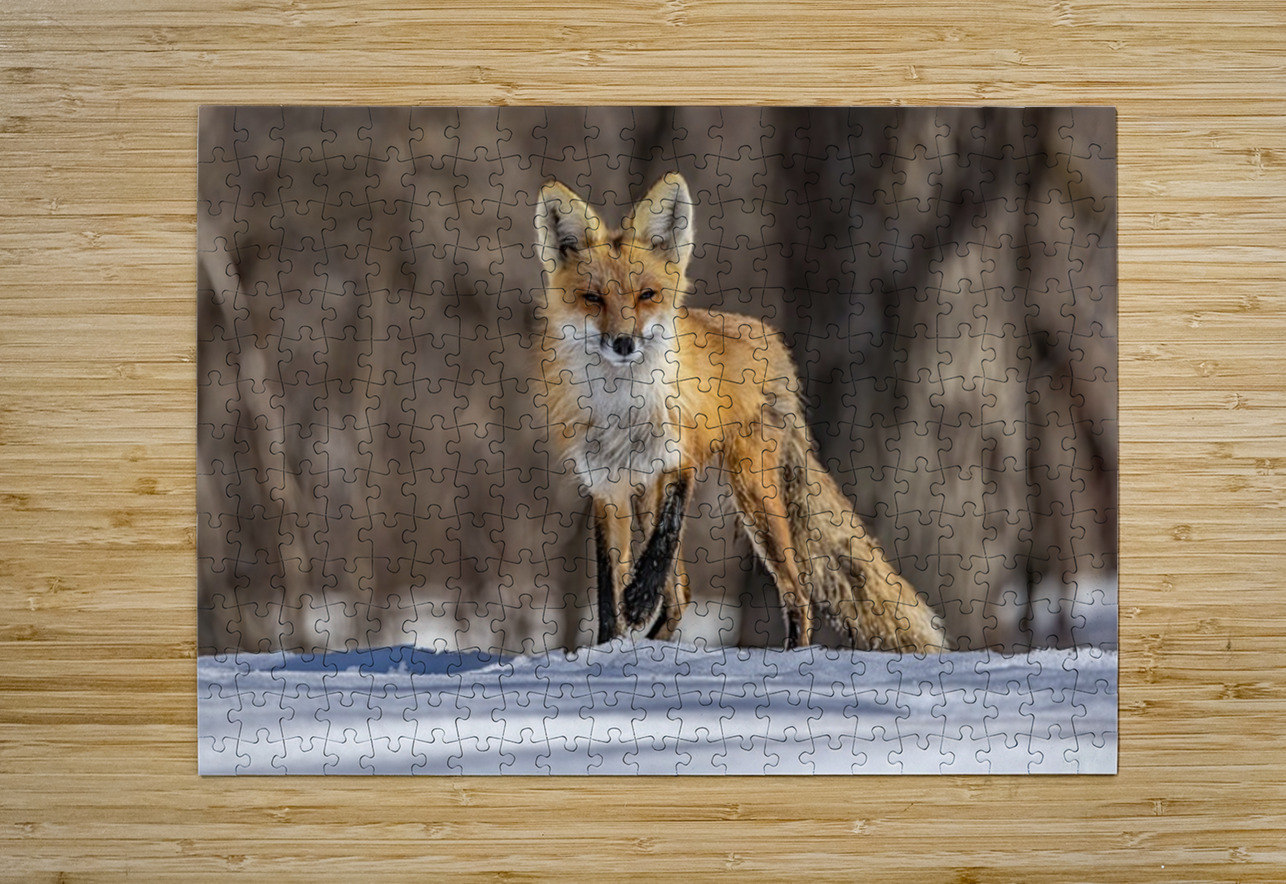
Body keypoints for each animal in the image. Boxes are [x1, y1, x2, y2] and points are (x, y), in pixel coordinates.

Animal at [534, 172, 945, 652]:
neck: (624, 406)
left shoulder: (680, 457)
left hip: (754, 494)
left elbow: (663, 539)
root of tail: (769, 339)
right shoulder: (606, 486)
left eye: (646, 295)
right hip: (663, 498)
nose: (623, 343)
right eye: (593, 299)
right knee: (682, 595)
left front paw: (638, 600)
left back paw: (794, 653)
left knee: (798, 590)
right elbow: (606, 590)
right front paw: (607, 647)